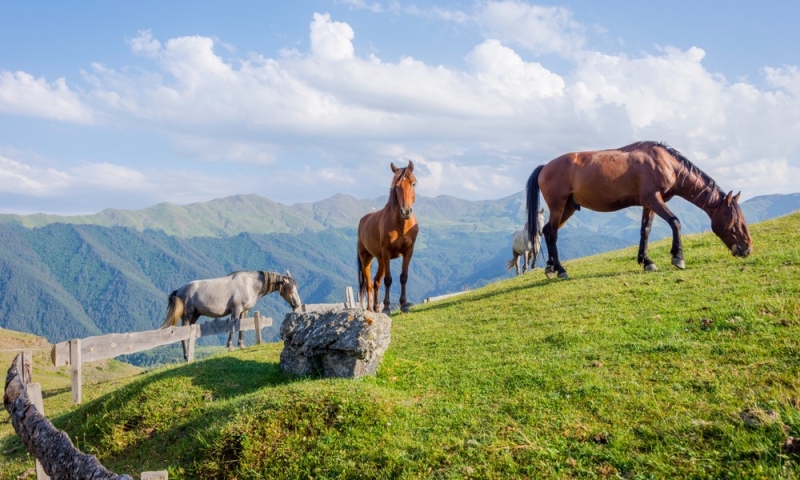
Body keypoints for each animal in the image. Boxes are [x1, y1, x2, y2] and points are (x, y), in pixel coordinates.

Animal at [161, 270, 302, 360]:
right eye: (289, 288)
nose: (297, 304)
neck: (249, 284)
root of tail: (179, 290)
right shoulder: (236, 310)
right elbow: (233, 327)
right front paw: (230, 346)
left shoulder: (244, 311)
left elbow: (242, 328)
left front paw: (241, 345)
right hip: (188, 316)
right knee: (183, 335)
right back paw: (186, 356)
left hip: (195, 316)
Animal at [356, 161, 418, 314]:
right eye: (396, 186)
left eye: (413, 183)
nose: (406, 211)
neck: (401, 225)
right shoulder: (387, 253)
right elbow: (388, 280)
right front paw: (387, 308)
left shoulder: (408, 252)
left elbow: (403, 277)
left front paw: (404, 305)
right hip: (367, 258)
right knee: (369, 284)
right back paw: (370, 309)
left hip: (381, 261)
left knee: (376, 281)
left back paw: (376, 307)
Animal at [528, 141, 752, 280]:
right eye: (736, 222)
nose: (747, 249)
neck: (666, 163)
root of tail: (544, 167)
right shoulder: (654, 199)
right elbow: (675, 222)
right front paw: (678, 257)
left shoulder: (648, 204)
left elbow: (645, 231)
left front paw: (646, 261)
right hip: (559, 207)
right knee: (552, 234)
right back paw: (561, 270)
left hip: (568, 208)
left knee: (547, 231)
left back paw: (550, 268)